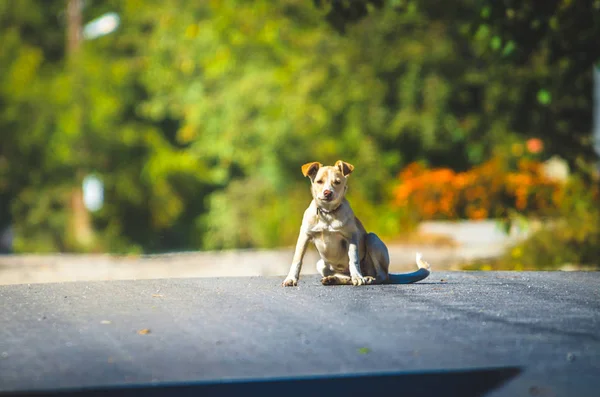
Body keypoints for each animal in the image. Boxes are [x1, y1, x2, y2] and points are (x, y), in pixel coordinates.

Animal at [282, 159, 428, 286]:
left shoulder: (351, 237)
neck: (328, 214)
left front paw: (358, 277)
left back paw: (367, 278)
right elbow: (297, 259)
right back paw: (333, 279)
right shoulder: (304, 235)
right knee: (347, 278)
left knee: (381, 275)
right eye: (319, 181)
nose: (328, 193)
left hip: (372, 239)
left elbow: (353, 259)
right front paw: (291, 279)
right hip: (321, 264)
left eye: (337, 182)